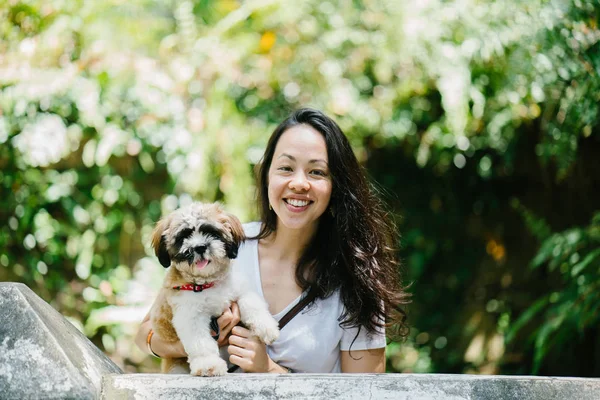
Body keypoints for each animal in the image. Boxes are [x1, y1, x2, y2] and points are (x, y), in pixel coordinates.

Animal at [150, 203, 282, 376]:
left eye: (211, 232)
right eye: (184, 237)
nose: (199, 247)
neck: (207, 283)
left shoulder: (240, 289)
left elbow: (251, 303)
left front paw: (267, 327)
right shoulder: (190, 316)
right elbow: (201, 343)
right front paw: (208, 364)